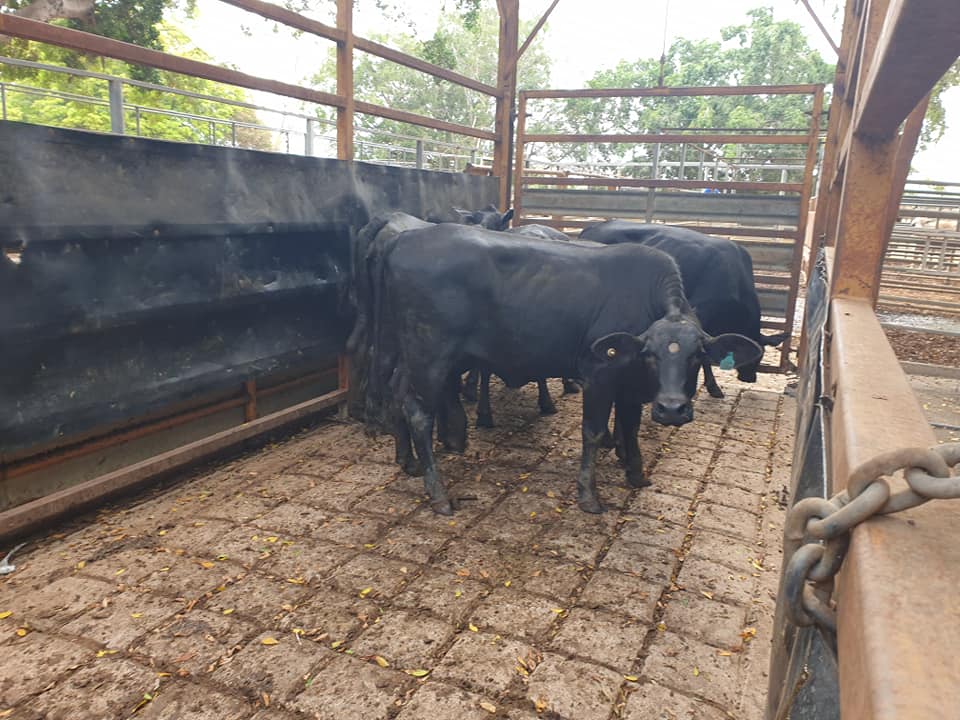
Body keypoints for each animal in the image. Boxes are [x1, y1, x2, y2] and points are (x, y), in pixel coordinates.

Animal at [367, 223, 762, 515]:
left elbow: (631, 427)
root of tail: (405, 237)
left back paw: (407, 460)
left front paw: (636, 474)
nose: (671, 409)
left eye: (698, 355)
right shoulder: (600, 372)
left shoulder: (629, 383)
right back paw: (438, 494)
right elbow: (594, 431)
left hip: (412, 355)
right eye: (650, 353)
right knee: (418, 412)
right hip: (430, 357)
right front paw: (589, 495)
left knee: (396, 391)